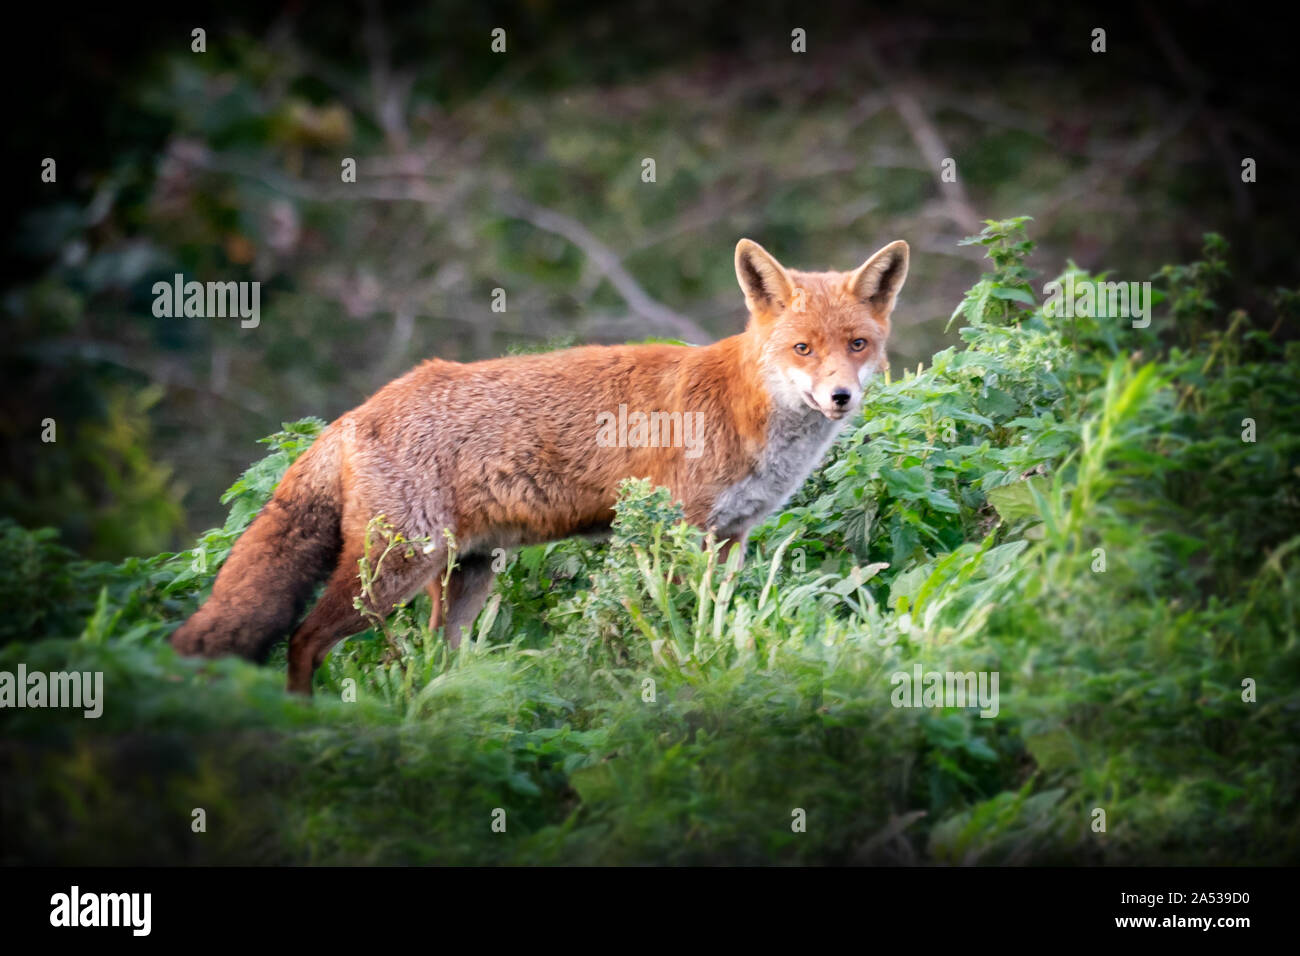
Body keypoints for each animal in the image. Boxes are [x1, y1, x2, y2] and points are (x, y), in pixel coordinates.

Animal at [170, 235, 904, 691]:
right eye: (803, 348)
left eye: (858, 344)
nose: (839, 397)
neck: (742, 410)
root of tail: (354, 414)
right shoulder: (675, 530)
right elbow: (673, 623)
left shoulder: (730, 539)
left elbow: (710, 621)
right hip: (396, 567)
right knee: (303, 638)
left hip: (463, 576)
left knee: (430, 660)